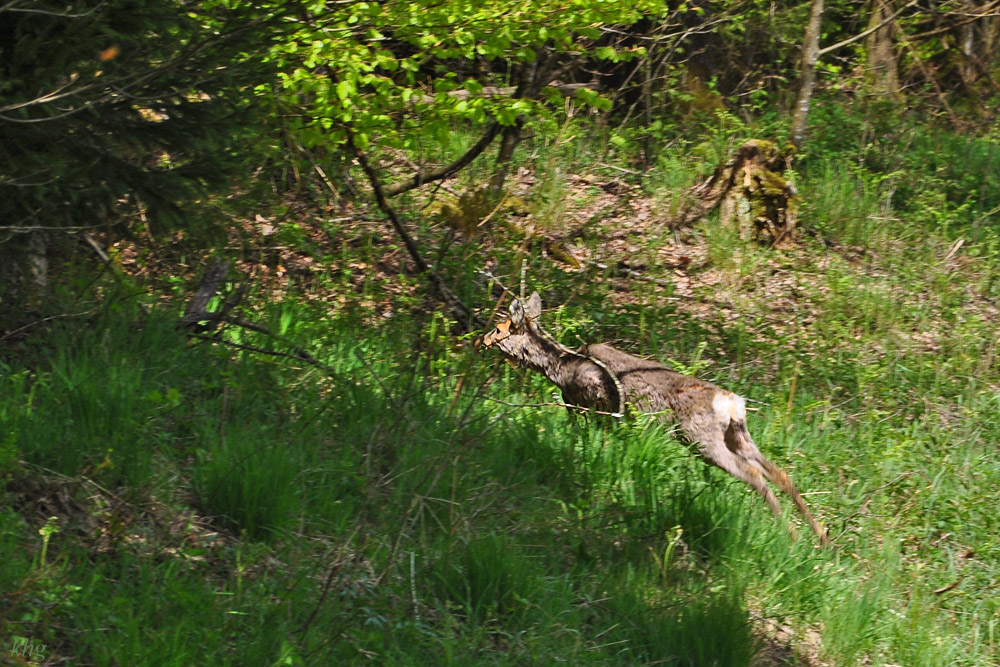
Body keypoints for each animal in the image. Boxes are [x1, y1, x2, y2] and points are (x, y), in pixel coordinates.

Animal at [482, 291, 830, 546]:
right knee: (779, 473)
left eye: (500, 328)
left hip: (701, 438)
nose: (482, 340)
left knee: (755, 475)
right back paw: (821, 537)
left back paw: (793, 537)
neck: (561, 366)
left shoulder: (594, 406)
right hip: (738, 435)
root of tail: (731, 403)